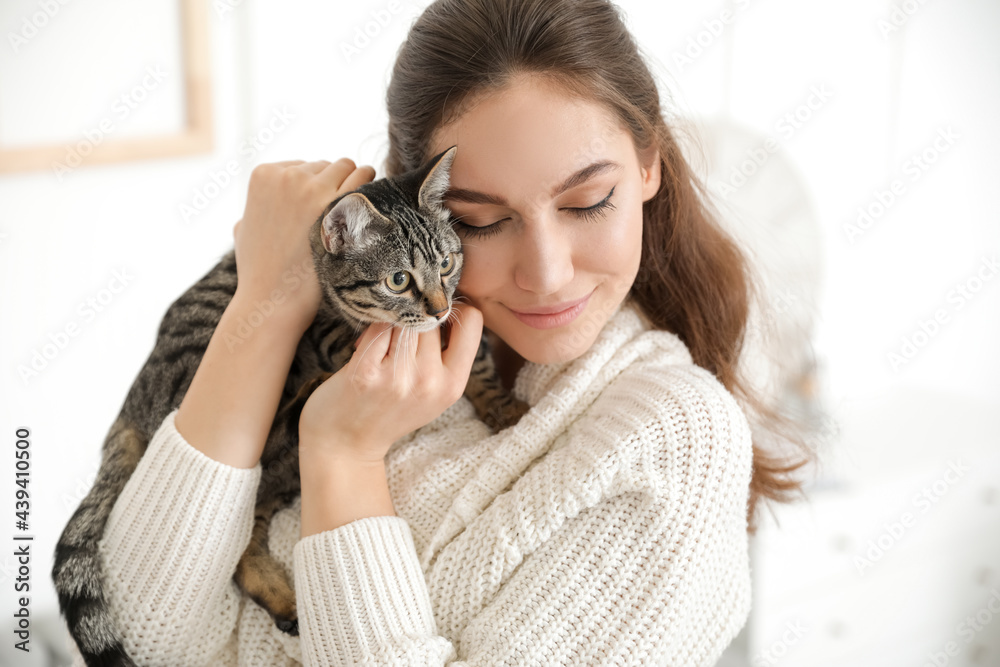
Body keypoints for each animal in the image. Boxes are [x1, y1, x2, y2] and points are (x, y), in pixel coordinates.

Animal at [52, 147, 532, 667]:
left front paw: (505, 409)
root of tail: (130, 404)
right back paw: (309, 392)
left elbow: (478, 364)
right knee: (266, 439)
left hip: (277, 483)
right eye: (399, 279)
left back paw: (281, 596)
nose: (440, 308)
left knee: (245, 535)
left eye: (446, 263)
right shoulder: (329, 332)